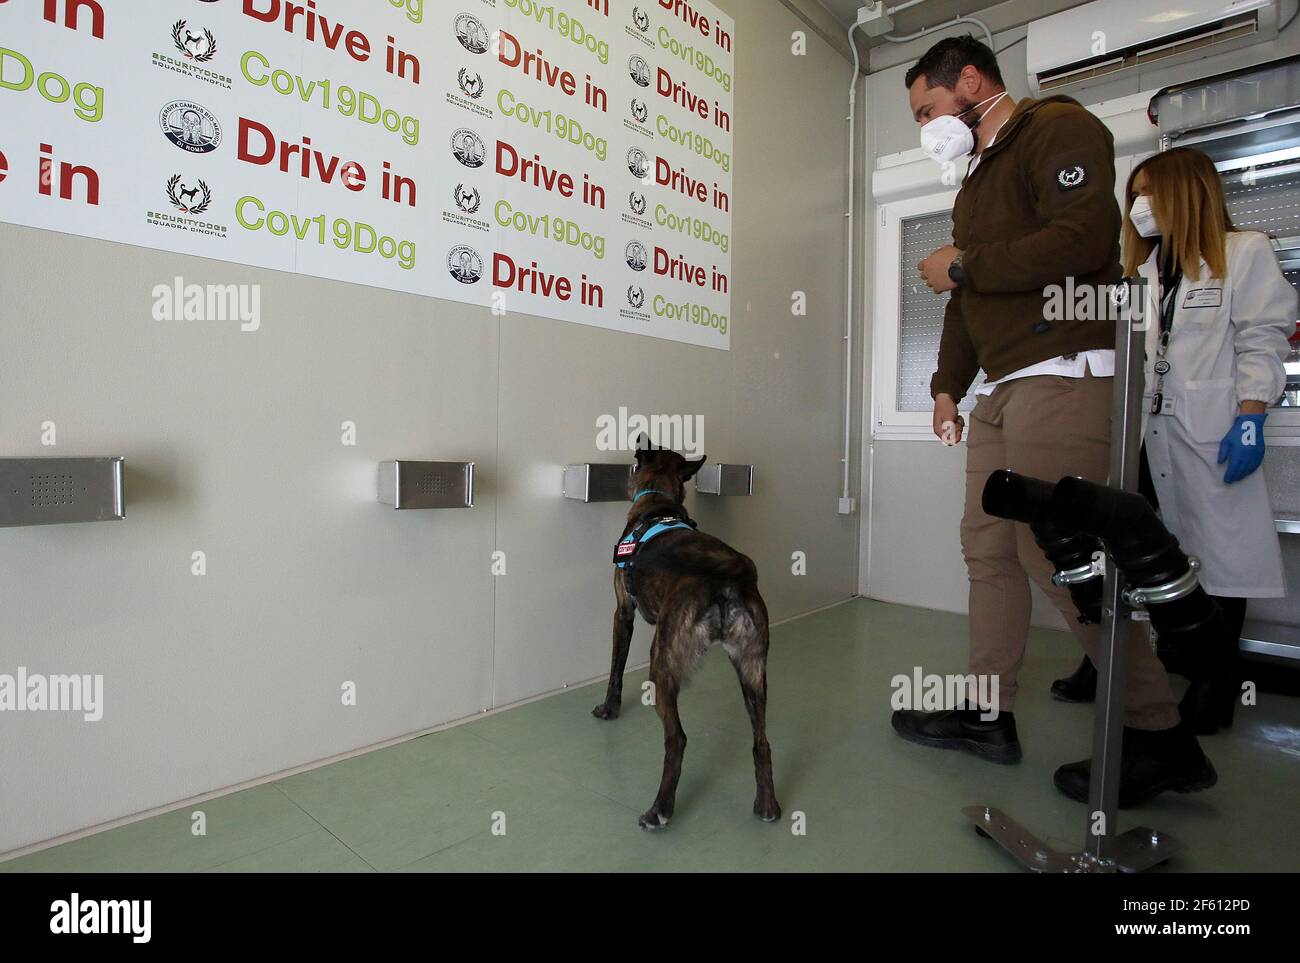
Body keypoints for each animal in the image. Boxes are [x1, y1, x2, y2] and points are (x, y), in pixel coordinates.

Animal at [592, 441, 780, 826]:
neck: (657, 500)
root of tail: (726, 578)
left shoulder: (623, 612)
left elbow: (616, 668)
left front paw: (609, 708)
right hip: (753, 669)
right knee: (762, 741)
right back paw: (767, 805)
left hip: (661, 663)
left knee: (677, 739)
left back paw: (659, 810)